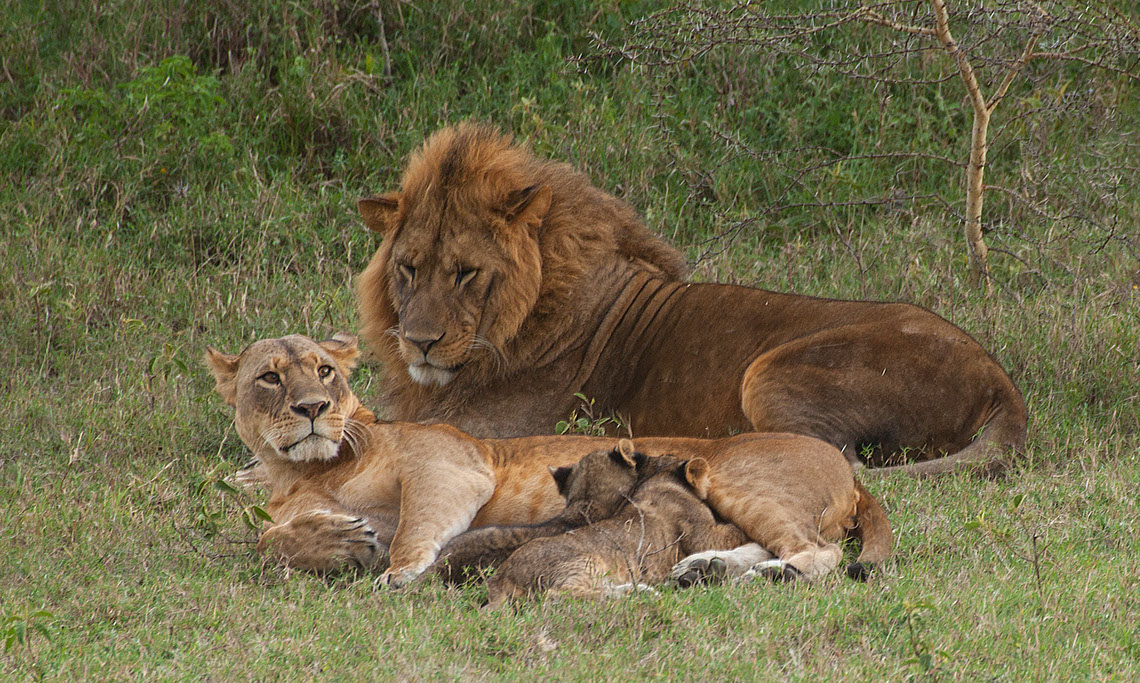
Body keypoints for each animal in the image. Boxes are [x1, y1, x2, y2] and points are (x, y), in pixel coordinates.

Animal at [209, 332, 893, 583]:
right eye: (270, 378)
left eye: (324, 369)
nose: (313, 407)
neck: (308, 469)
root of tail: (848, 470)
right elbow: (269, 540)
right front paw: (335, 541)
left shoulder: (454, 465)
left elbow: (412, 531)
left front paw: (397, 574)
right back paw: (704, 569)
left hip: (736, 478)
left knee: (818, 553)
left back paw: (761, 575)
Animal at [353, 123, 1026, 476]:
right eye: (409, 269)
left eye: (466, 273)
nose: (420, 342)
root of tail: (1001, 382)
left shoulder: (491, 428)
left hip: (768, 371)